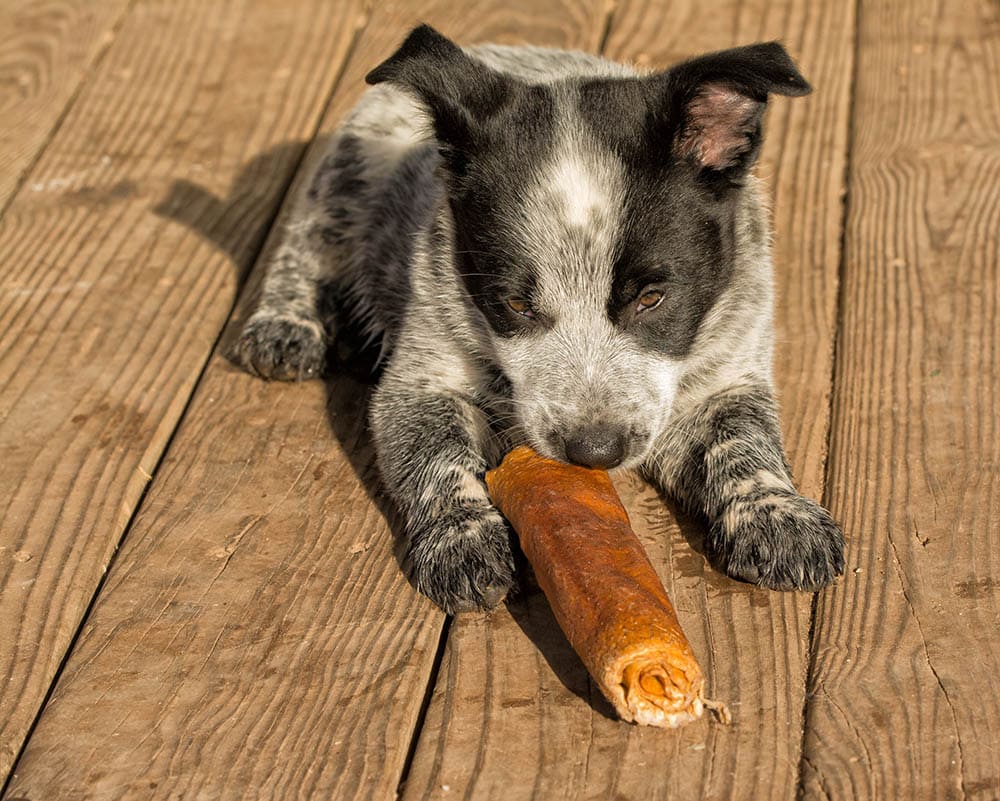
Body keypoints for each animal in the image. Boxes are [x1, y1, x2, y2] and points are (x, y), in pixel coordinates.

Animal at [232, 25, 844, 612]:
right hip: (348, 176)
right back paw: (287, 325)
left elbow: (744, 440)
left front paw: (778, 512)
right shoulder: (420, 380)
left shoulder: (731, 370)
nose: (594, 453)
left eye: (652, 299)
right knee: (307, 241)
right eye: (515, 305)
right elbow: (435, 459)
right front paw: (462, 538)